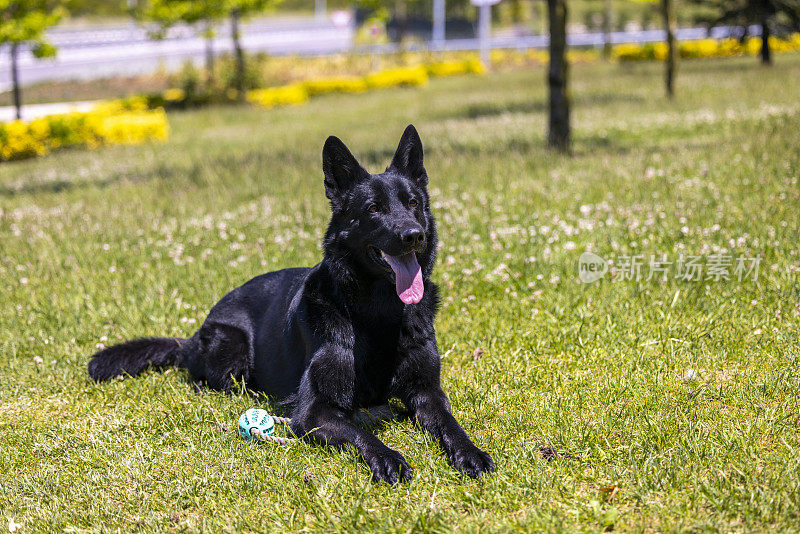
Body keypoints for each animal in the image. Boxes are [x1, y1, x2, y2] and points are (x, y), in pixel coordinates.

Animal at [90, 126, 496, 486]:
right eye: (374, 209)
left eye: (413, 203)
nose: (414, 235)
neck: (378, 313)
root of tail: (192, 336)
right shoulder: (314, 411)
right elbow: (360, 431)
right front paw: (387, 457)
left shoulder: (428, 393)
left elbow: (450, 423)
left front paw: (470, 452)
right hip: (231, 351)